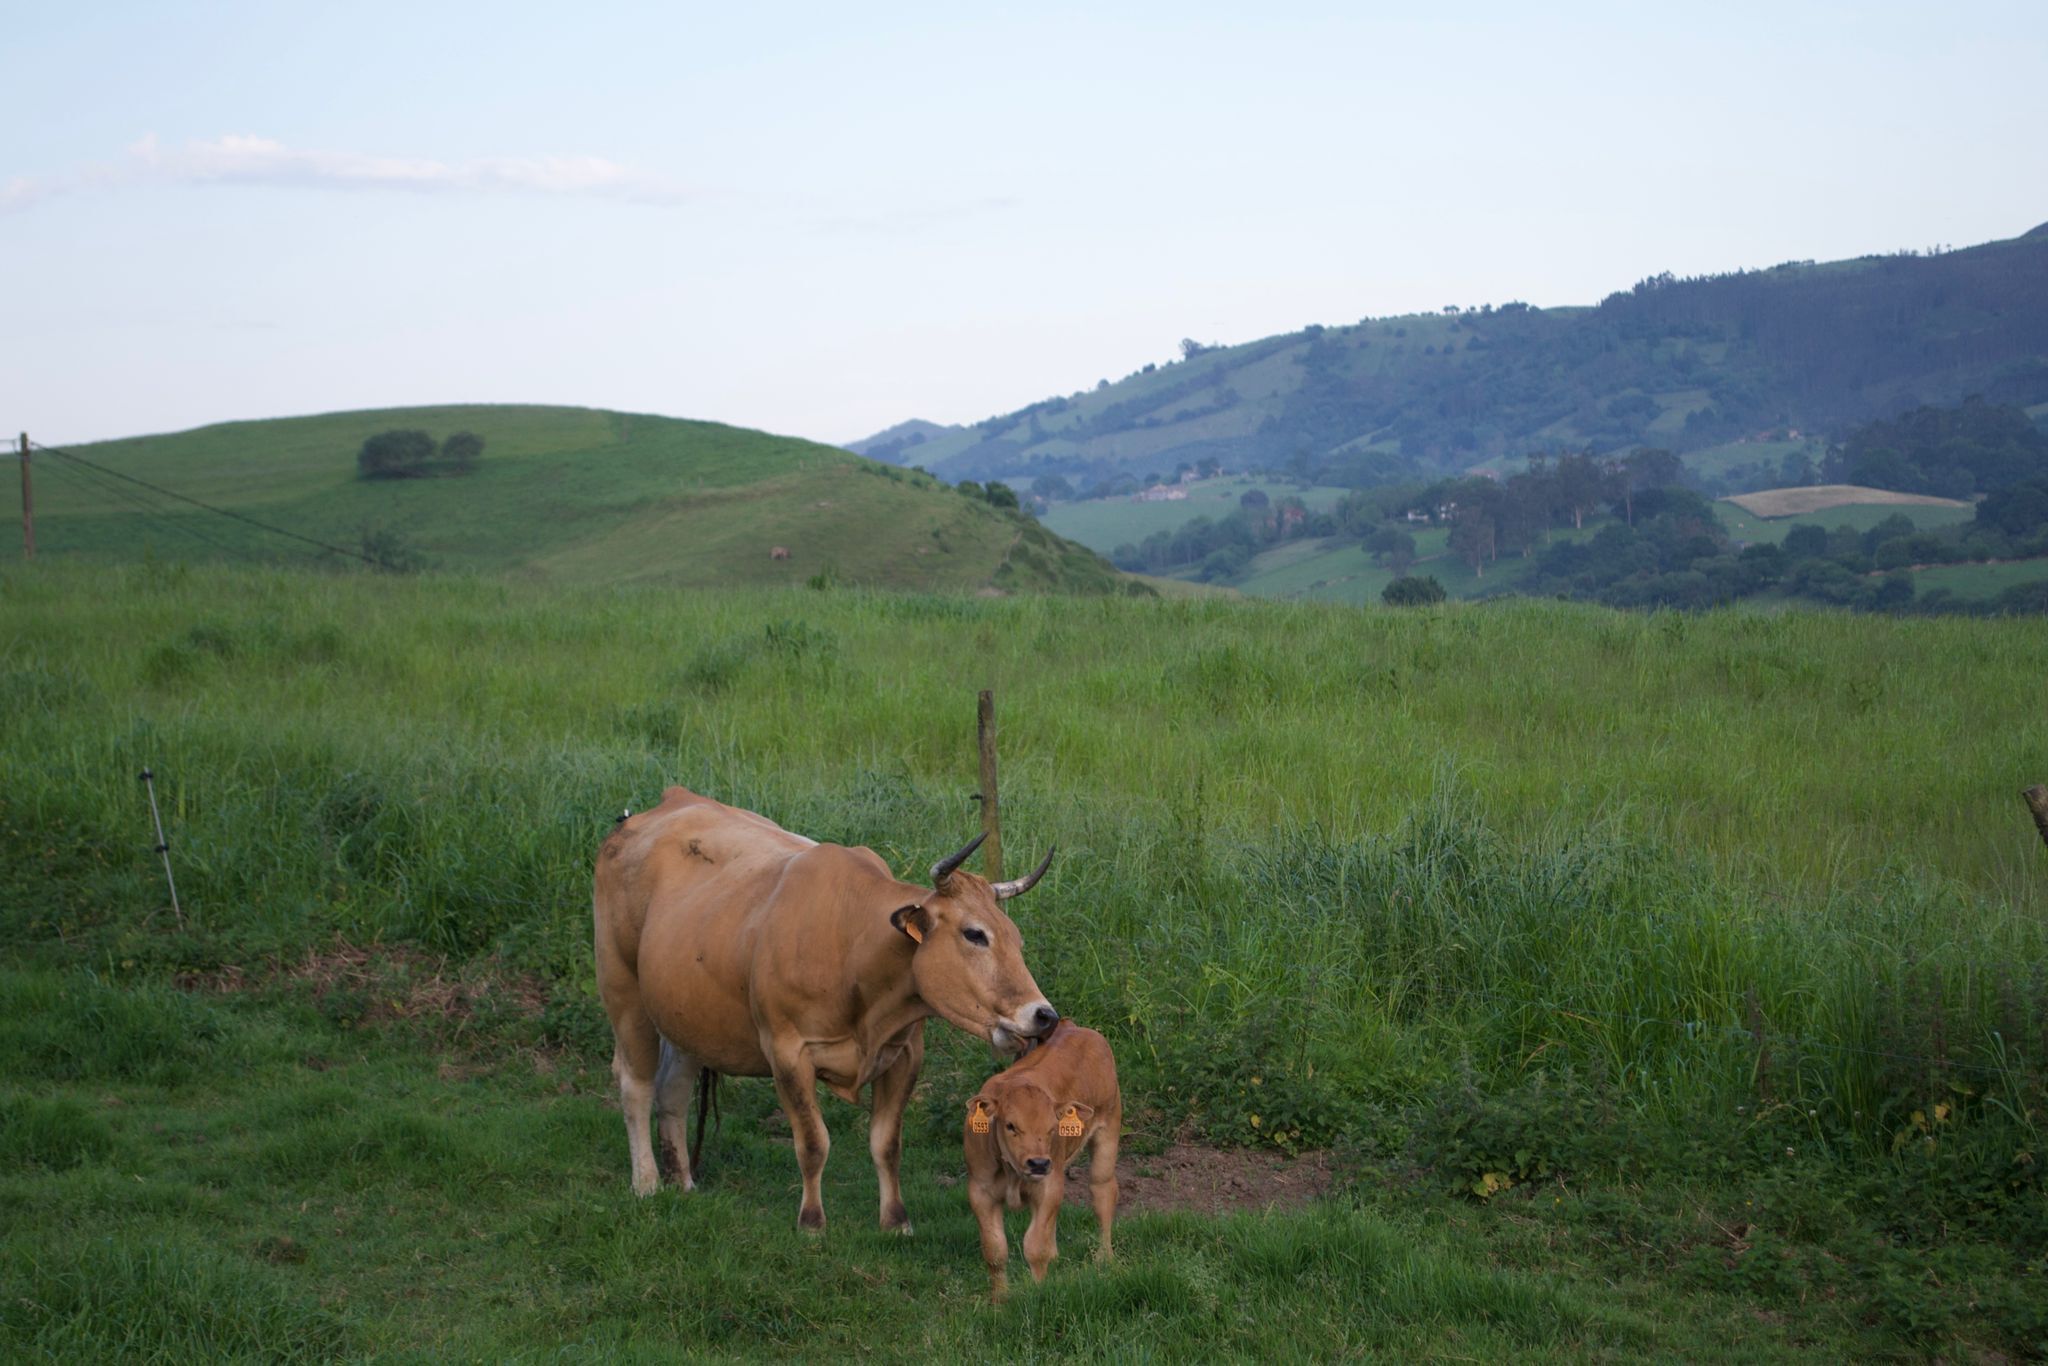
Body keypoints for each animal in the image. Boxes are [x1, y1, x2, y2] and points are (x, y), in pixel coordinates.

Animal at [593, 786, 1059, 1232]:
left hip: (686, 1015)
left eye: (1015, 938)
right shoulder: (788, 1052)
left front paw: (896, 1220)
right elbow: (814, 1142)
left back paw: (683, 1181)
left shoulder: (904, 1054)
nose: (1044, 1015)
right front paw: (812, 1222)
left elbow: (887, 1144)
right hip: (623, 988)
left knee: (673, 1089)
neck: (853, 942)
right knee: (636, 1084)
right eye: (974, 934)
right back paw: (647, 1182)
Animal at [963, 1019, 1121, 1301]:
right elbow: (995, 1250)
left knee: (1102, 1191)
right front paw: (999, 1299)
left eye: (1052, 1127)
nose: (1038, 1163)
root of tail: (1074, 1027)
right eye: (1010, 1125)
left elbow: (1035, 1247)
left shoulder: (1048, 1185)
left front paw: (1038, 1293)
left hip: (1108, 1130)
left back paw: (1104, 1259)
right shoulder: (980, 1191)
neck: (1012, 1174)